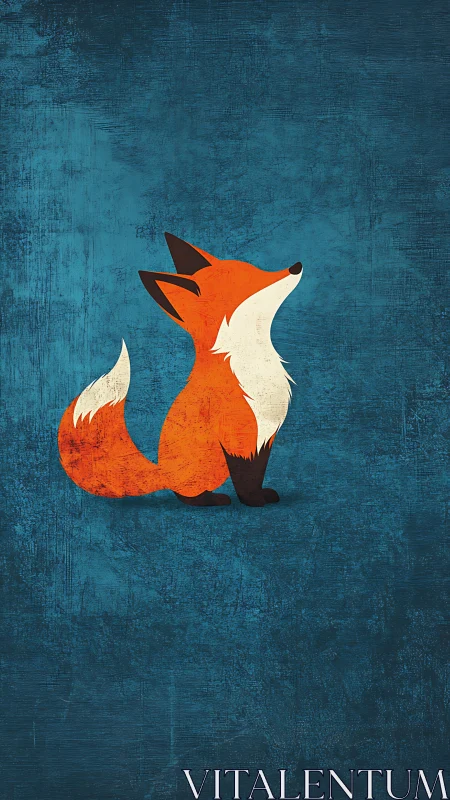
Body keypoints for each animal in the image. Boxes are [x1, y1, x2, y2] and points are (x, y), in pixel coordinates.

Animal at [58, 233, 303, 507]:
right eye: (246, 282)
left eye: (257, 270)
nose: (296, 266)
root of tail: (162, 472)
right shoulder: (239, 439)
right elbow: (245, 479)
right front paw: (252, 501)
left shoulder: (265, 438)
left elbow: (258, 474)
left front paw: (262, 494)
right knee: (185, 494)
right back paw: (209, 500)